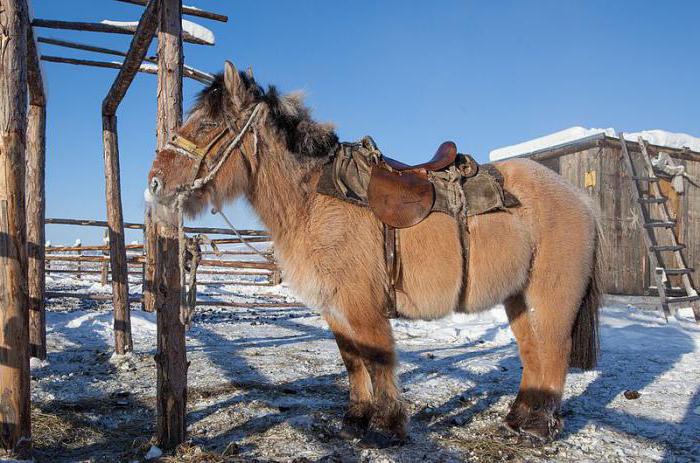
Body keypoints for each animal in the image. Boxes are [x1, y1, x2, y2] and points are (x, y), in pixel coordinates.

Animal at [148, 59, 600, 444]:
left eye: (208, 123)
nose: (154, 183)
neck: (314, 199)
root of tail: (580, 198)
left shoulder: (362, 305)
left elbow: (378, 358)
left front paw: (387, 424)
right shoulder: (334, 307)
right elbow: (353, 360)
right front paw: (356, 418)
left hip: (551, 296)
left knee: (554, 351)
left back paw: (539, 427)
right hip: (518, 298)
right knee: (533, 354)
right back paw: (518, 418)